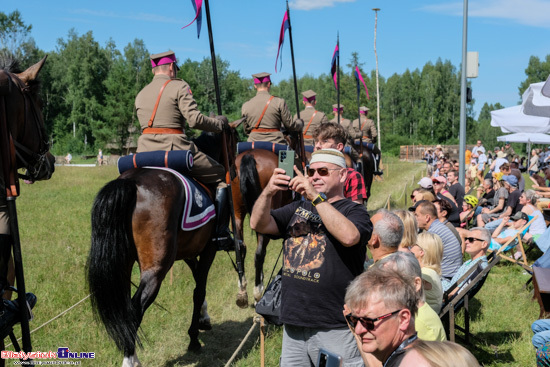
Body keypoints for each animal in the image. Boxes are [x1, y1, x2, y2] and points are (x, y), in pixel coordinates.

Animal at [88, 131, 237, 366]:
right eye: (234, 141)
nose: (236, 169)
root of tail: (132, 182)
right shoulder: (208, 250)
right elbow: (199, 289)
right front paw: (193, 338)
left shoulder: (187, 252)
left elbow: (197, 280)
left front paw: (203, 318)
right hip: (156, 269)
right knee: (135, 308)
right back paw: (130, 359)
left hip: (123, 264)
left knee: (126, 309)